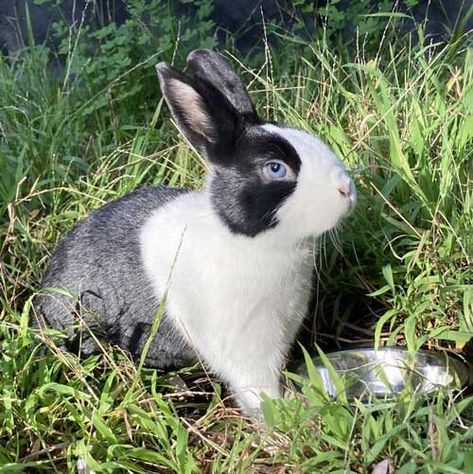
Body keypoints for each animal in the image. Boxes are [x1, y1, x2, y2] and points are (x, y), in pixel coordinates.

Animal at [35, 49, 354, 414]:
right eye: (275, 168)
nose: (347, 190)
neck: (247, 241)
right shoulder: (248, 352)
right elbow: (256, 389)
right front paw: (285, 413)